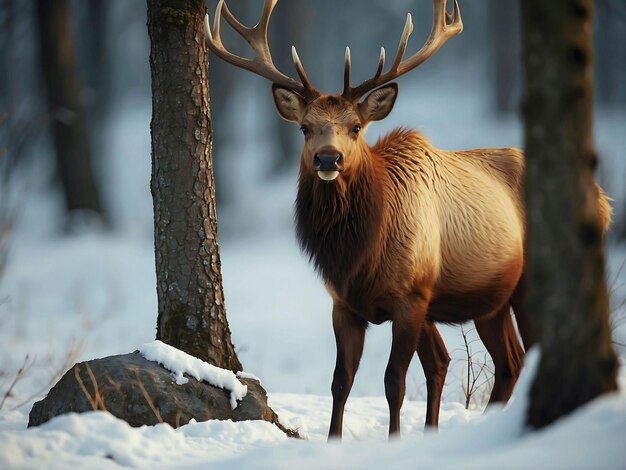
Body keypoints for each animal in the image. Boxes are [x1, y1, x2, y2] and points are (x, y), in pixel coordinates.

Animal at [204, 0, 608, 440]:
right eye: (305, 128)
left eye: (356, 127)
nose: (328, 158)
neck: (359, 255)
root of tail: (603, 200)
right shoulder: (344, 304)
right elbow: (342, 381)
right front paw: (333, 441)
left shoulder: (410, 297)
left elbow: (393, 380)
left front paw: (394, 439)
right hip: (489, 301)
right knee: (507, 361)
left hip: (529, 279)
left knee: (524, 354)